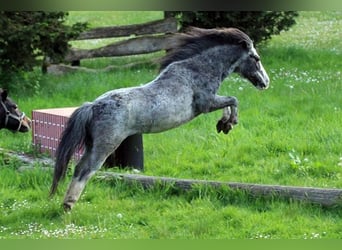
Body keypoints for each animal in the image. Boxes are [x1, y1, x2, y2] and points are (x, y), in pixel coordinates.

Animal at [50, 27, 270, 211]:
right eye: (256, 58)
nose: (265, 83)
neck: (197, 69)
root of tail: (93, 106)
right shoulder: (206, 103)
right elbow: (233, 100)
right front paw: (229, 124)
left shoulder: (210, 102)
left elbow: (229, 102)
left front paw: (223, 124)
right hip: (105, 146)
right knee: (85, 169)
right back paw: (68, 205)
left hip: (92, 145)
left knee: (78, 168)